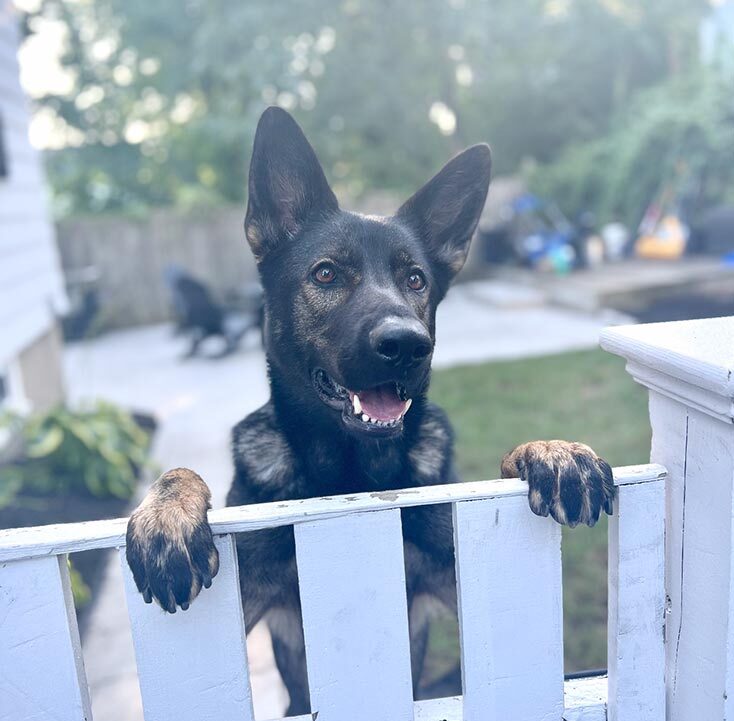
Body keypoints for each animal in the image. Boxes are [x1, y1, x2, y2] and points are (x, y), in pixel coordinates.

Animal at [126, 107, 616, 716]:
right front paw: (166, 511)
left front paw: (549, 451)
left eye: (416, 280)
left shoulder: (458, 571)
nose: (407, 346)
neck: (351, 474)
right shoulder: (252, 601)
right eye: (326, 274)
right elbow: (181, 473)